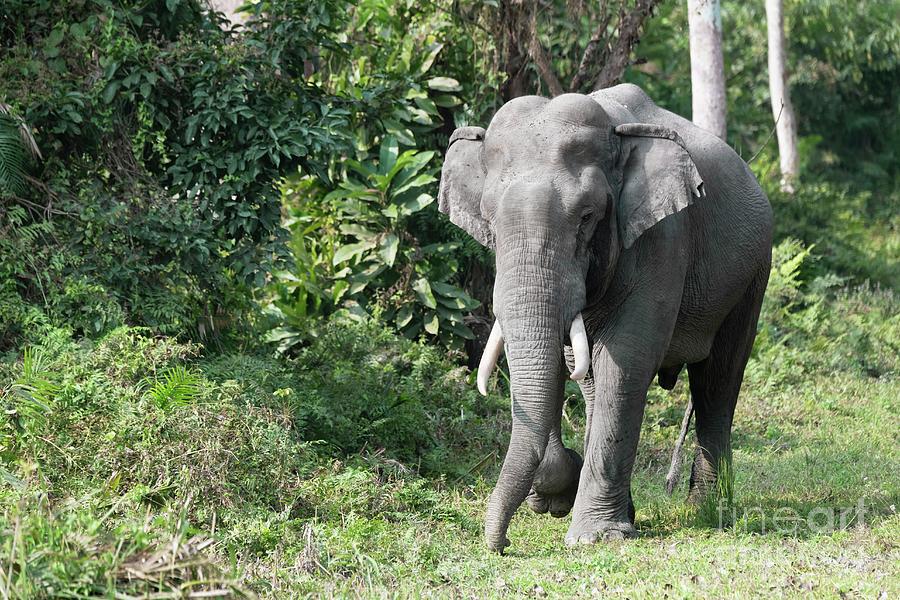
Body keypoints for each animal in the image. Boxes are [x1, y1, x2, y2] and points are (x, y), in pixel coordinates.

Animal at [438, 84, 772, 552]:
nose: (499, 546)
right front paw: (557, 497)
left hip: (753, 273)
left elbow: (627, 359)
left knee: (718, 379)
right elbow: (571, 362)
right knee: (598, 384)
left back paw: (707, 511)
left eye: (587, 217)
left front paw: (595, 537)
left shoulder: (662, 237)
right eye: (489, 219)